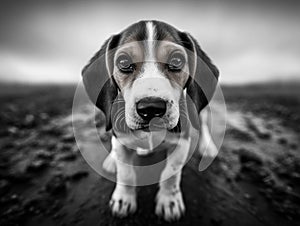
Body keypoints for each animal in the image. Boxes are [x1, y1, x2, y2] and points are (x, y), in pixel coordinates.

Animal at [81, 20, 218, 222]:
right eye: (123, 62)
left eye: (177, 60)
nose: (151, 107)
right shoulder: (121, 141)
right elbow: (126, 174)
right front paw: (123, 200)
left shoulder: (181, 143)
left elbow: (171, 174)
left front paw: (170, 202)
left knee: (204, 124)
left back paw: (207, 148)